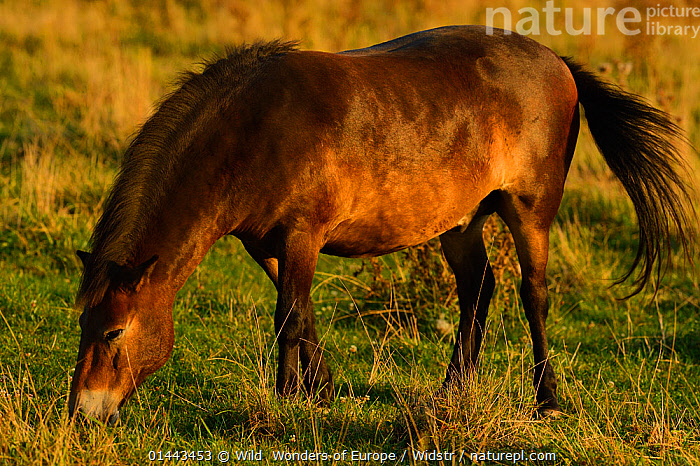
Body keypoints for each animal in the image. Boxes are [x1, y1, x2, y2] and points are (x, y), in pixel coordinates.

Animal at [67, 26, 695, 424]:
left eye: (114, 333)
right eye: (83, 326)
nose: (83, 411)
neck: (255, 129)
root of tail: (557, 61)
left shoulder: (302, 235)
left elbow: (289, 317)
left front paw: (289, 399)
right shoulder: (268, 245)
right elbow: (302, 314)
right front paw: (319, 394)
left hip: (529, 212)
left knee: (531, 293)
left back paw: (547, 399)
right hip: (460, 222)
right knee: (478, 289)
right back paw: (452, 390)